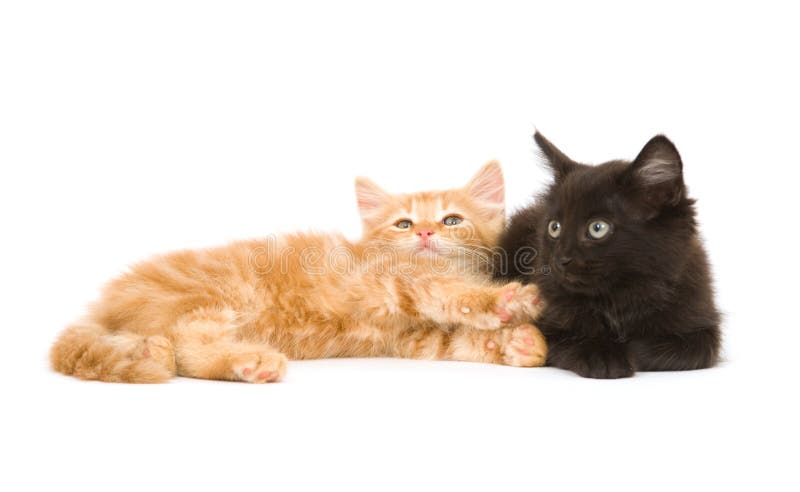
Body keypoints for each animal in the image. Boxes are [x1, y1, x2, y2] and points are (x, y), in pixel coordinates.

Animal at [50, 163, 548, 382]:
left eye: (452, 220)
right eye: (404, 224)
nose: (426, 232)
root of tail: (106, 299)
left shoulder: (410, 338)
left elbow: (455, 340)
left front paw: (519, 344)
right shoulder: (393, 279)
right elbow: (448, 291)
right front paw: (502, 299)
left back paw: (152, 352)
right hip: (215, 296)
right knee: (191, 344)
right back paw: (249, 362)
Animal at [496, 133, 720, 378]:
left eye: (598, 228)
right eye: (554, 228)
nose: (560, 260)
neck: (621, 295)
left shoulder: (703, 323)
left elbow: (687, 350)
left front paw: (627, 350)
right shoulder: (548, 319)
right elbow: (567, 336)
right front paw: (603, 355)